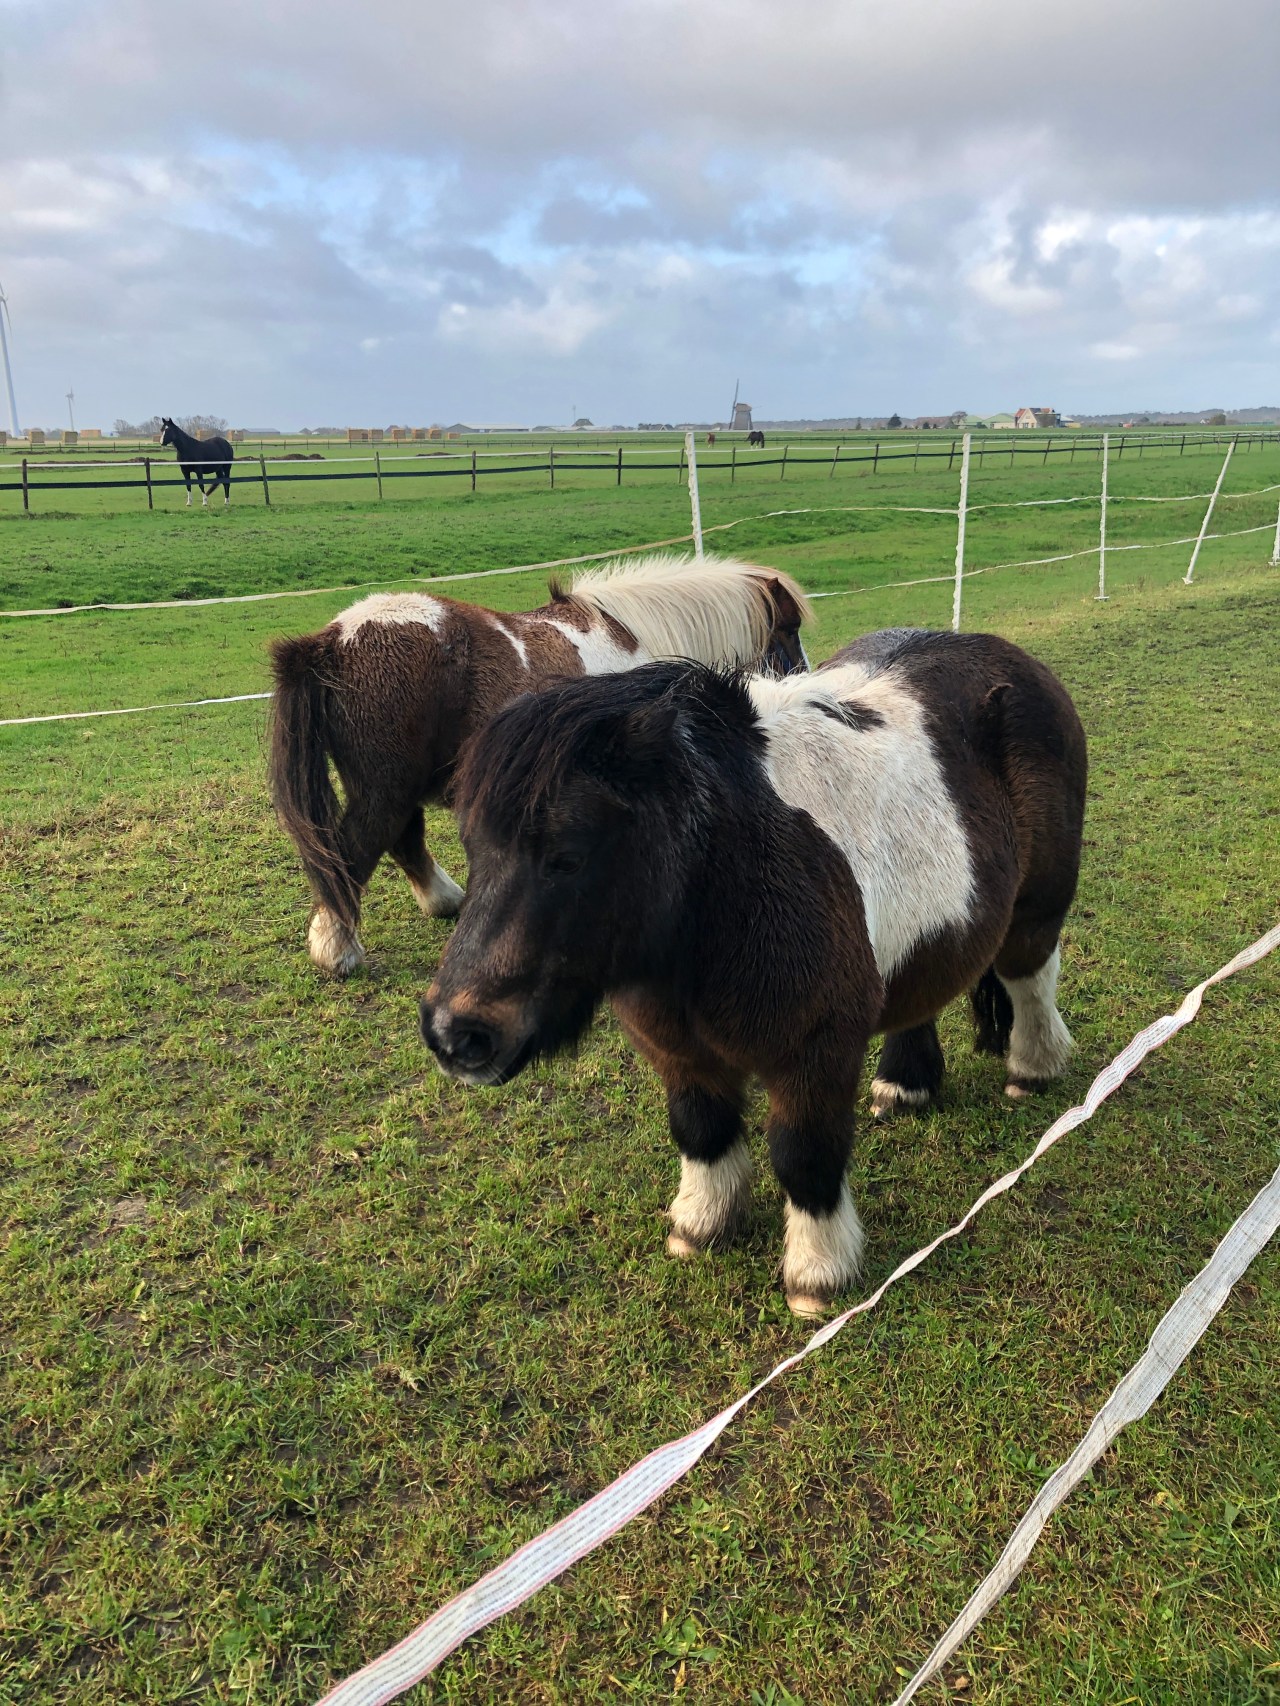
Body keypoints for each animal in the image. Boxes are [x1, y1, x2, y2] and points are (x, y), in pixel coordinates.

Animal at [269, 554, 812, 977]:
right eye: (789, 630)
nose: (805, 680)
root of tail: (332, 641)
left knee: (400, 841)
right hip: (385, 789)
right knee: (354, 851)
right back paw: (337, 950)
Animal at [420, 629, 1087, 1317]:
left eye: (567, 856)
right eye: (472, 848)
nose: (452, 1034)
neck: (723, 886)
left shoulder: (813, 1055)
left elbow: (803, 1155)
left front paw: (817, 1274)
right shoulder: (679, 1052)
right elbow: (701, 1129)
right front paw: (701, 1225)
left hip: (1035, 910)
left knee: (1030, 977)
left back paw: (1033, 1069)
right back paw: (905, 1086)